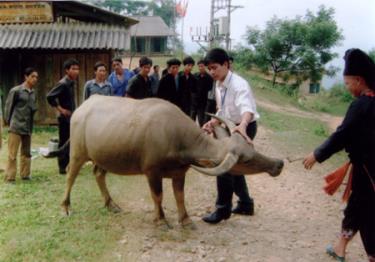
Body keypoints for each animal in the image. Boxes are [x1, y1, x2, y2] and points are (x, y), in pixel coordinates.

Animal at [61, 95, 284, 226]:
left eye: (251, 147)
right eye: (245, 160)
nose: (279, 164)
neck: (175, 137)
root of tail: (82, 107)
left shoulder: (179, 173)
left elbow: (179, 196)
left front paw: (185, 220)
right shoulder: (152, 172)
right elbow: (158, 196)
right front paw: (160, 220)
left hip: (103, 157)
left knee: (99, 174)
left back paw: (111, 204)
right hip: (78, 152)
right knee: (71, 175)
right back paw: (66, 207)